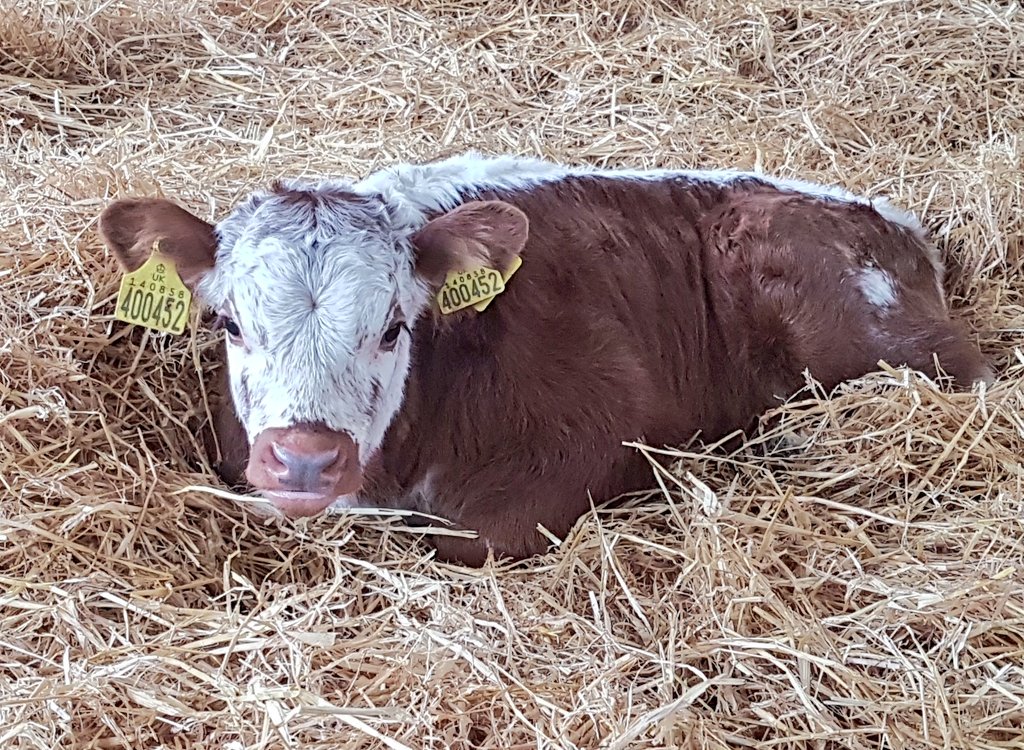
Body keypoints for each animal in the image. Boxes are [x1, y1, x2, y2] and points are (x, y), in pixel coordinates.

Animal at [95, 152, 991, 566]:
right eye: (229, 325)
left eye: (392, 327)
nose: (309, 459)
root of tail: (888, 216)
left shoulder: (597, 429)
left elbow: (471, 537)